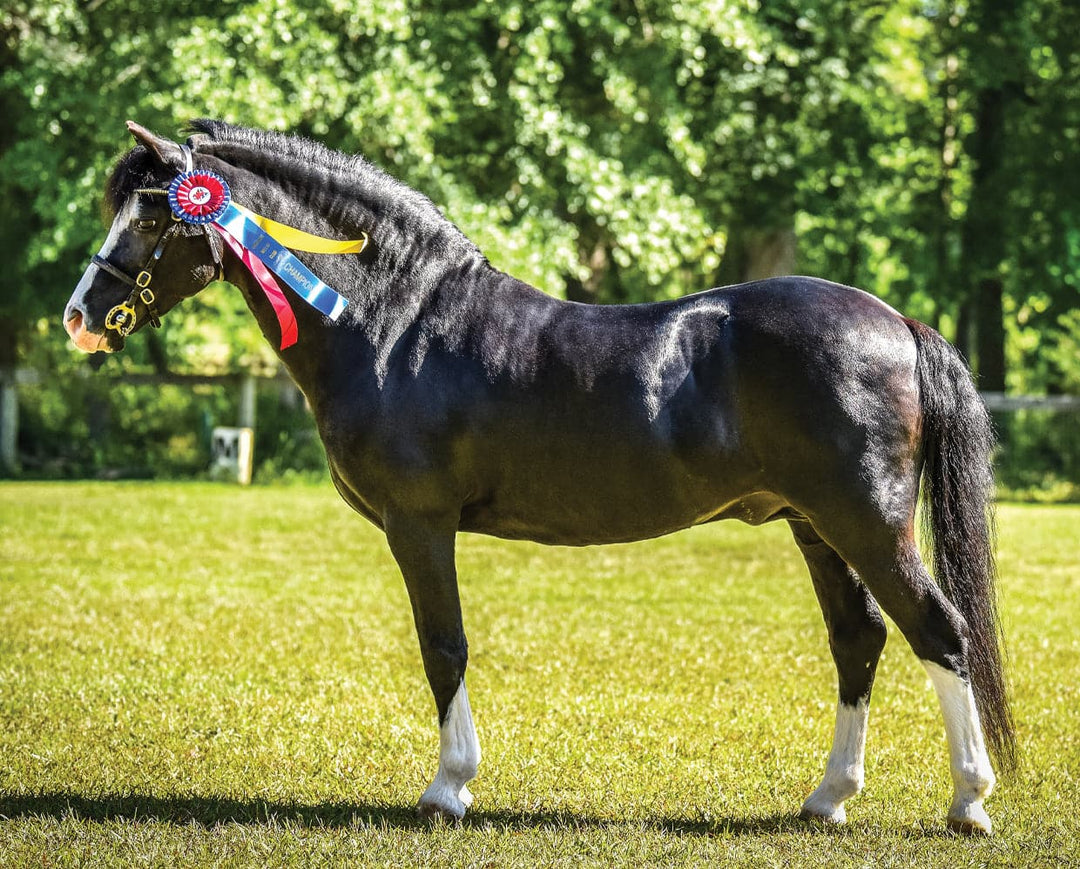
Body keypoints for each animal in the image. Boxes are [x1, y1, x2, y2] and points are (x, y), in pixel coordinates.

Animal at [64, 120, 1014, 834]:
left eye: (151, 217)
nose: (79, 316)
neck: (397, 323)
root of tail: (895, 320)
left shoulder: (420, 523)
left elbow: (443, 646)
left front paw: (448, 788)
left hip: (867, 521)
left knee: (941, 631)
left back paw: (969, 803)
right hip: (816, 525)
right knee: (860, 639)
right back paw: (827, 799)